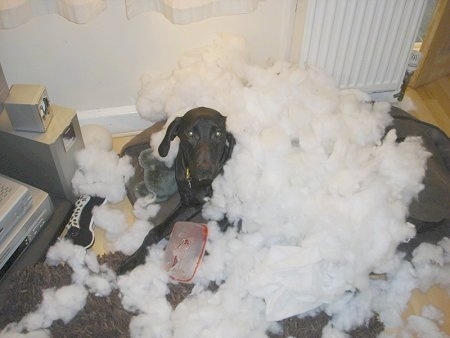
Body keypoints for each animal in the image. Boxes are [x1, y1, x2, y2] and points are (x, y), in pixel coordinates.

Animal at [118, 108, 234, 274]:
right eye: (190, 133)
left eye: (218, 134)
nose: (204, 170)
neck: (202, 184)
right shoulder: (188, 204)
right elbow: (155, 231)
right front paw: (134, 258)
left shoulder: (225, 215)